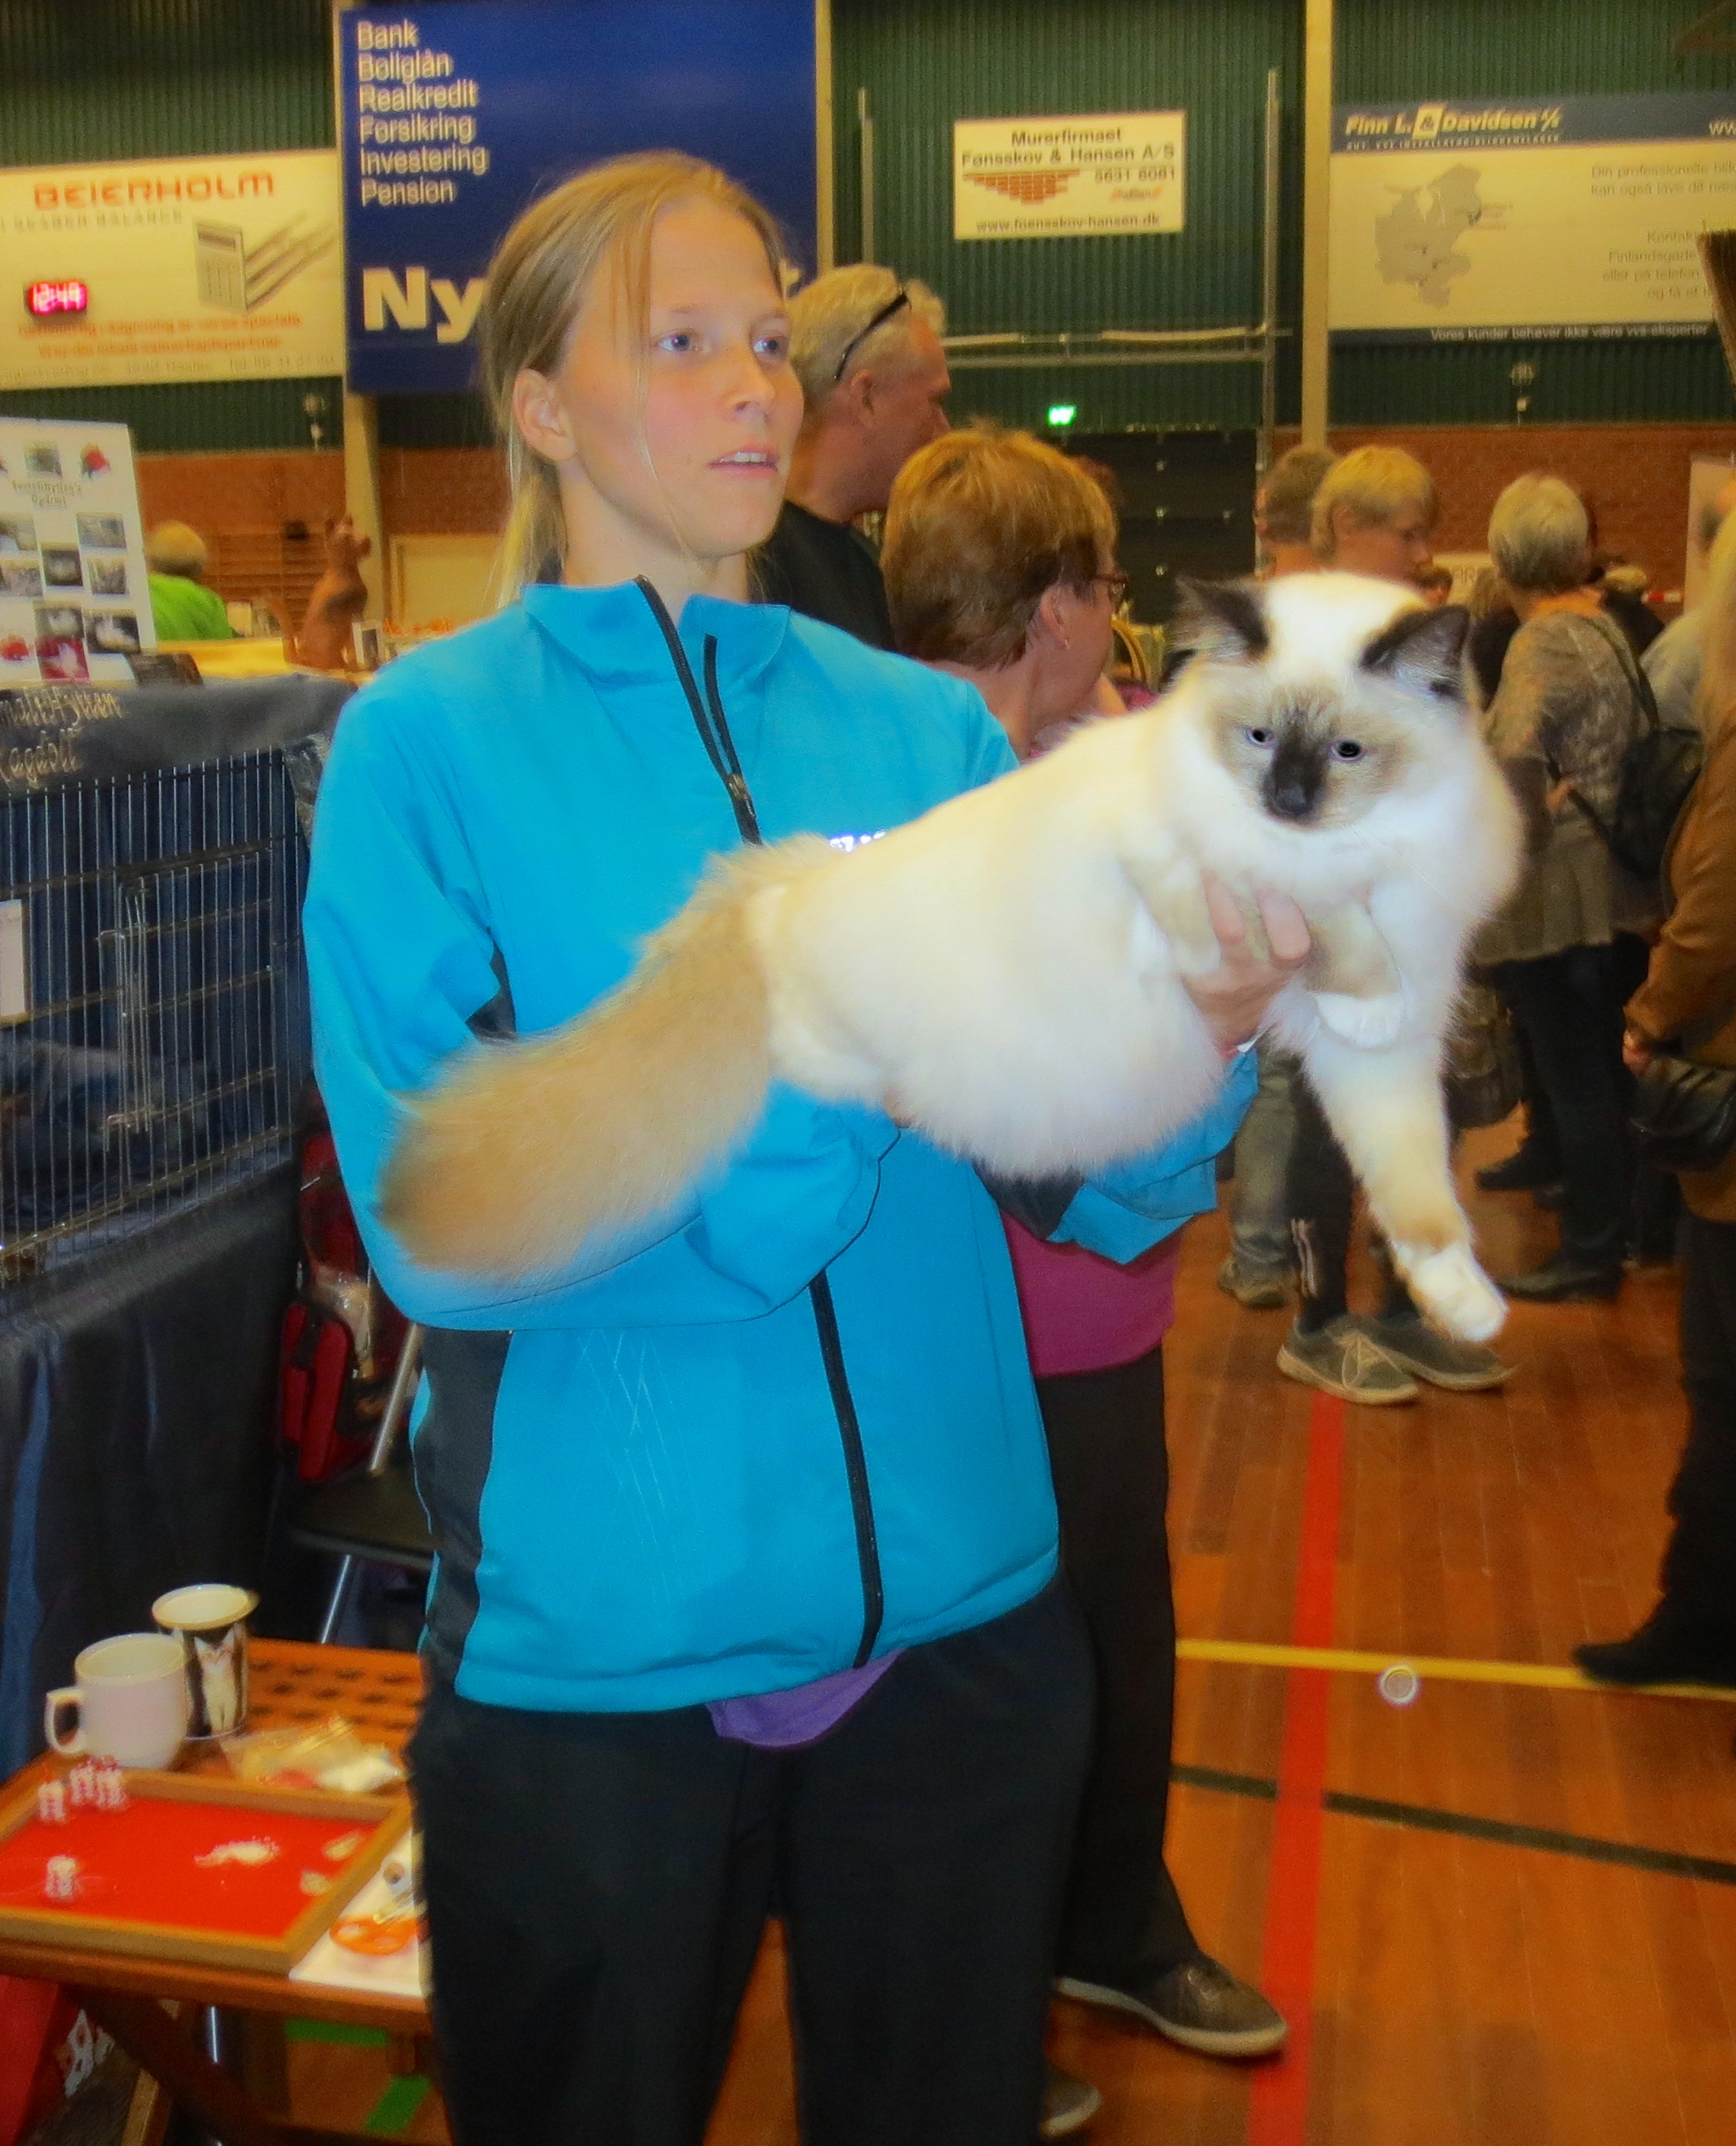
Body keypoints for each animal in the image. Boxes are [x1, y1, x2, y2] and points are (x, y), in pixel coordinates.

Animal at [381, 572, 1522, 1340]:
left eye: (1345, 754)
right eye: (1257, 741)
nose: (1286, 799)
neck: (1370, 847)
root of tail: (780, 886)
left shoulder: (1380, 1065)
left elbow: (1418, 1193)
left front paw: (1464, 1305)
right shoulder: (1194, 866)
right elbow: (1328, 920)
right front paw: (1357, 970)